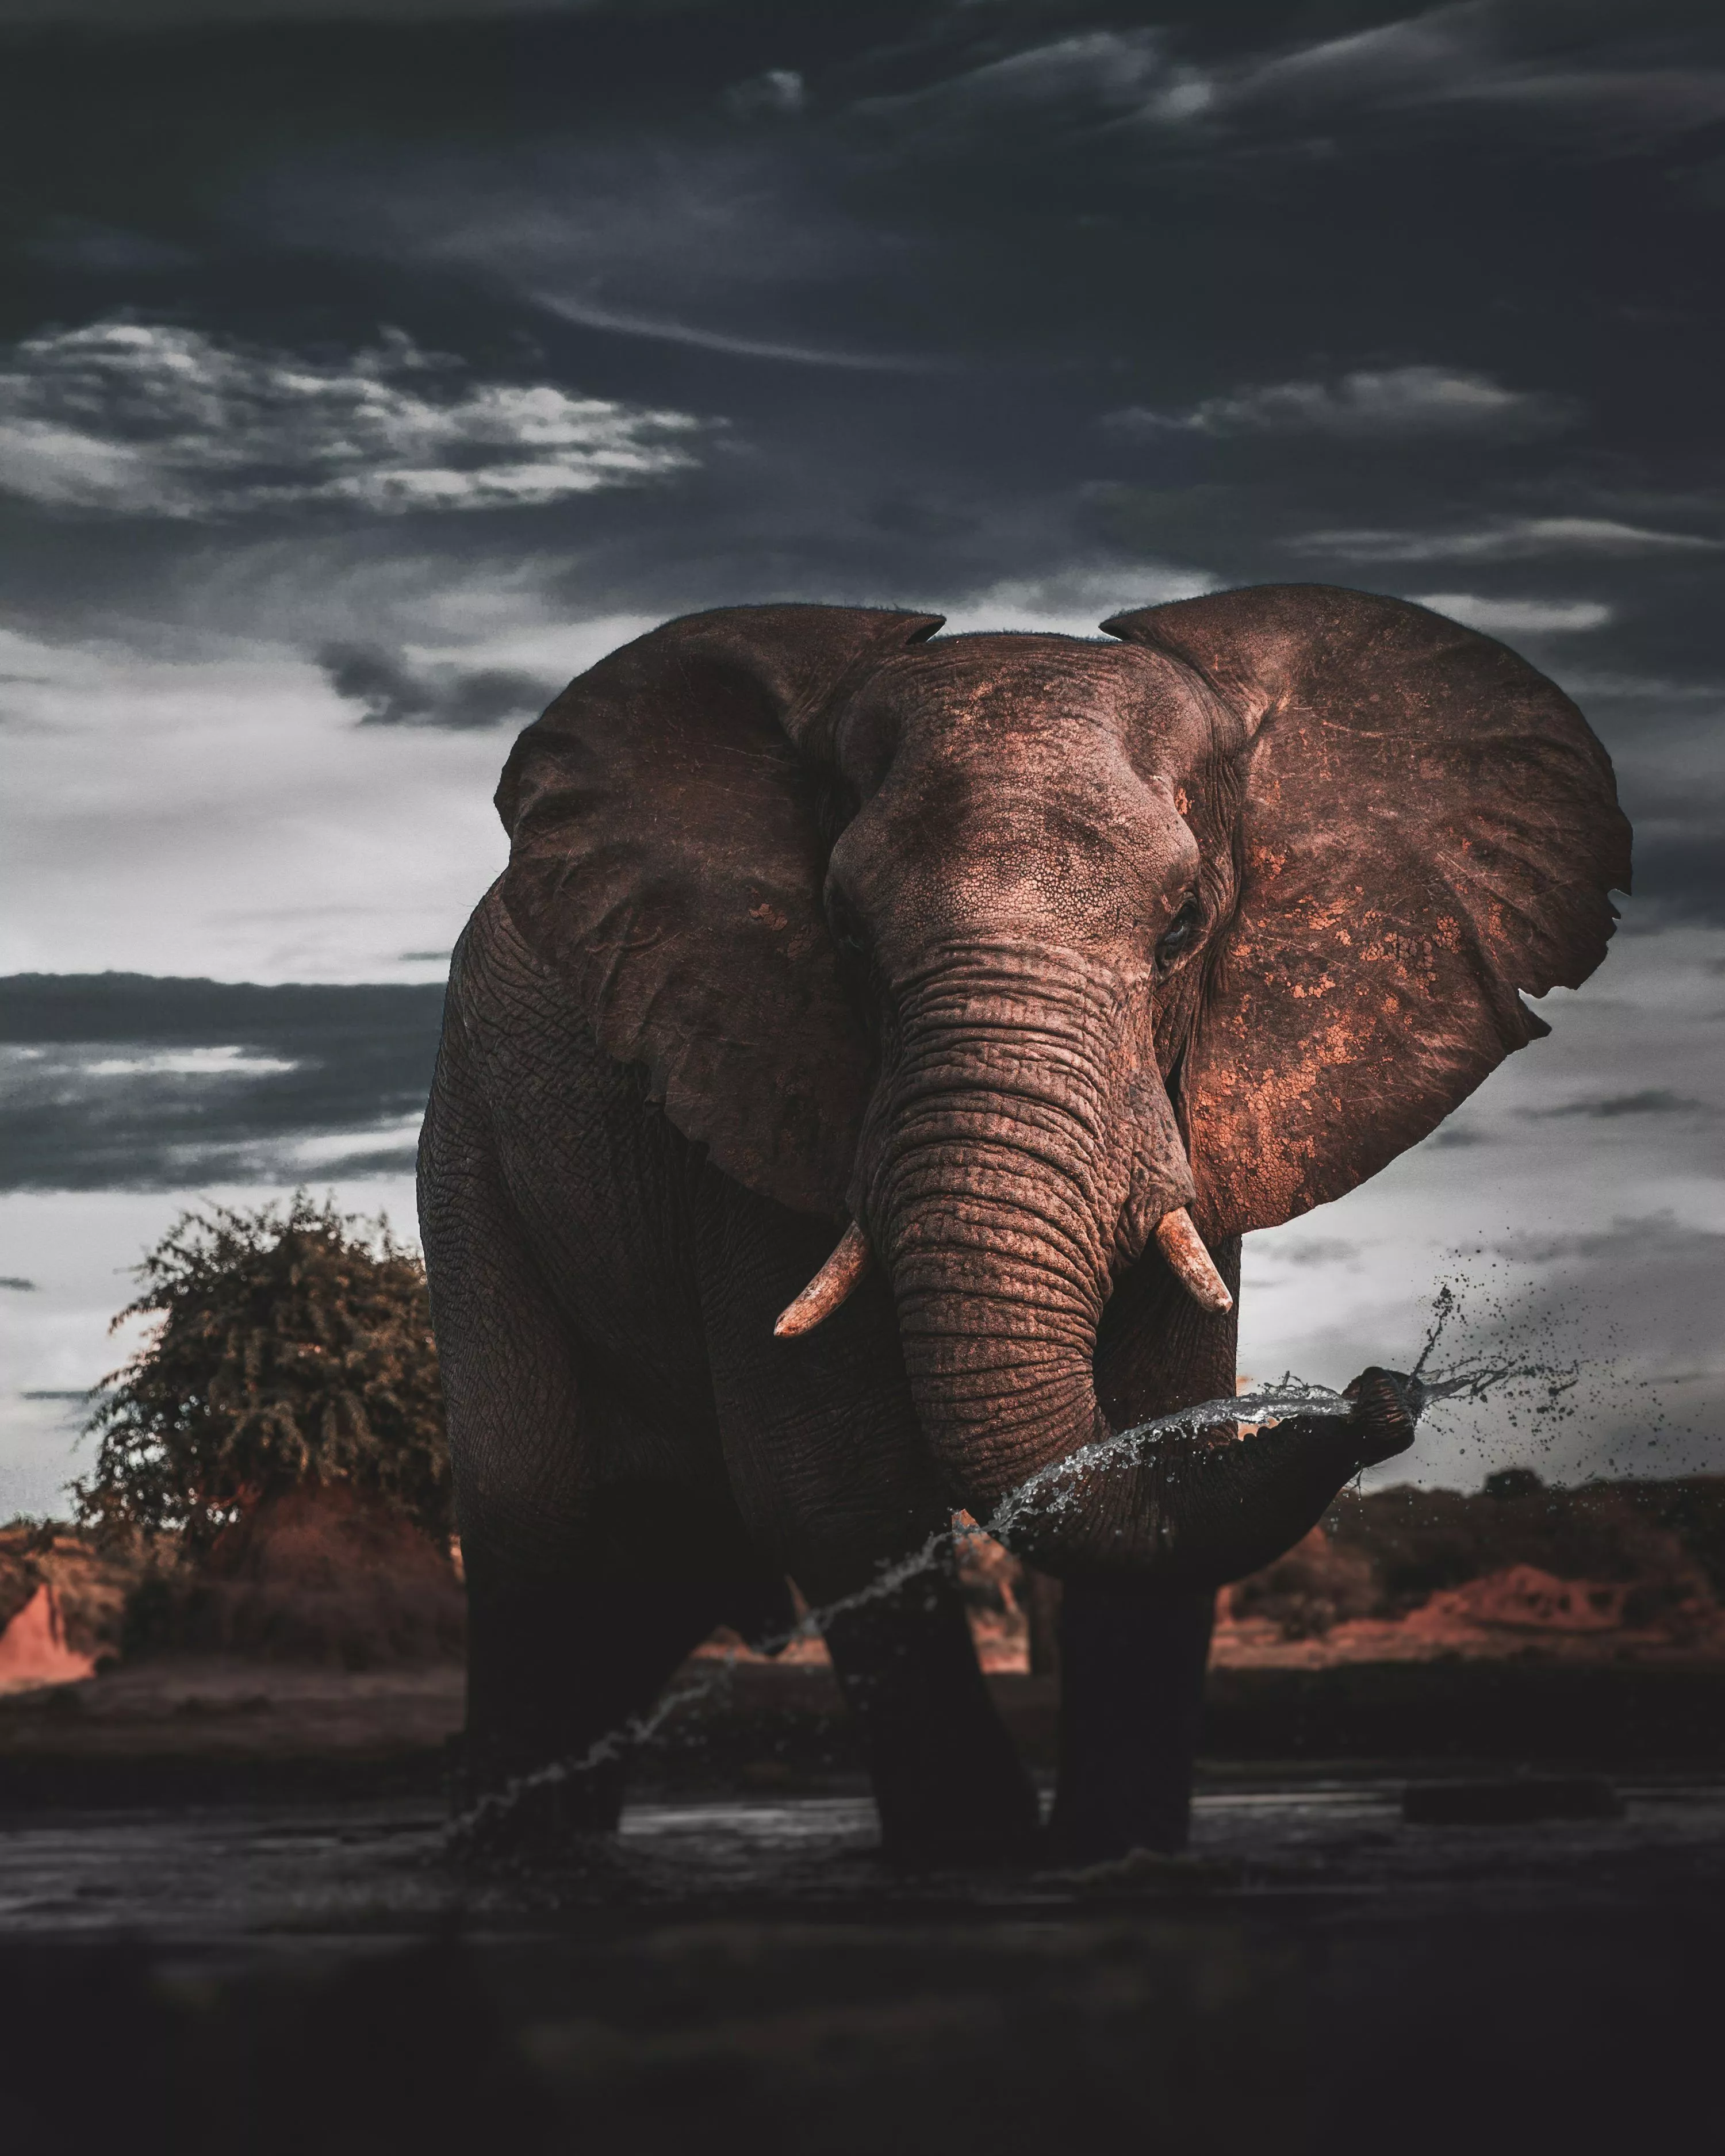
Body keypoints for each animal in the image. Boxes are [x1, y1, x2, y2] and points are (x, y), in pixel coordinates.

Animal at [418, 583, 1629, 1864]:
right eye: (843, 930)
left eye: (1185, 926)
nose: (1382, 1395)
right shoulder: (752, 1088)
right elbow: (835, 1492)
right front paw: (981, 1860)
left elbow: (1155, 1438)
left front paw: (1114, 1855)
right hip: (472, 1151)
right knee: (534, 1530)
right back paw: (509, 1859)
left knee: (655, 1573)